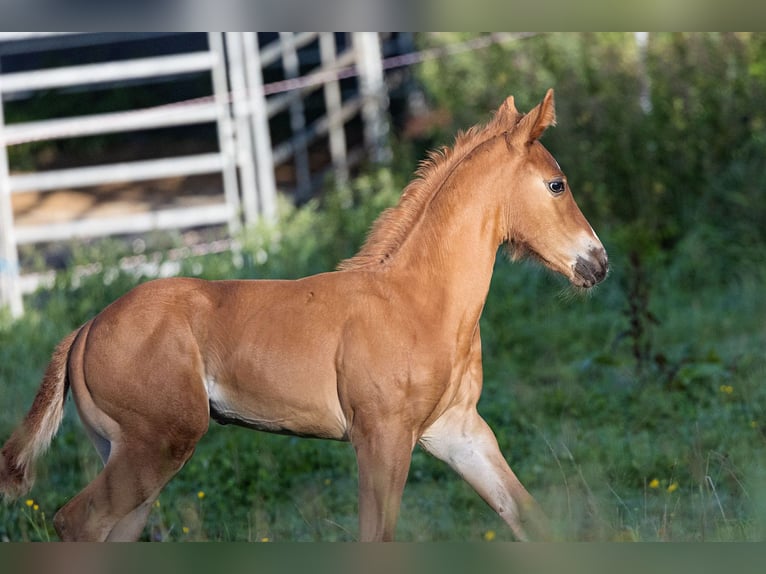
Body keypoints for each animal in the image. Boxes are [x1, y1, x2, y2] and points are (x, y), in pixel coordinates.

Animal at [3, 89, 608, 540]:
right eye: (556, 184)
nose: (598, 262)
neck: (418, 299)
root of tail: (86, 329)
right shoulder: (381, 439)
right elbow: (376, 539)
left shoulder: (458, 432)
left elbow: (528, 516)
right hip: (156, 445)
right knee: (76, 521)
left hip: (131, 454)